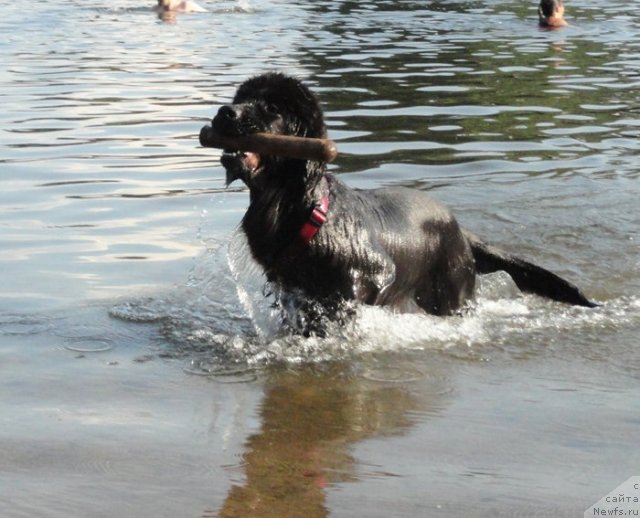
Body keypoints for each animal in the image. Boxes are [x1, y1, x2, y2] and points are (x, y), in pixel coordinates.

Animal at [208, 72, 596, 334]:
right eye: (240, 98)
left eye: (271, 107)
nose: (226, 112)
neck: (296, 205)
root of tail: (463, 232)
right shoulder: (288, 287)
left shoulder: (374, 275)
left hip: (452, 292)